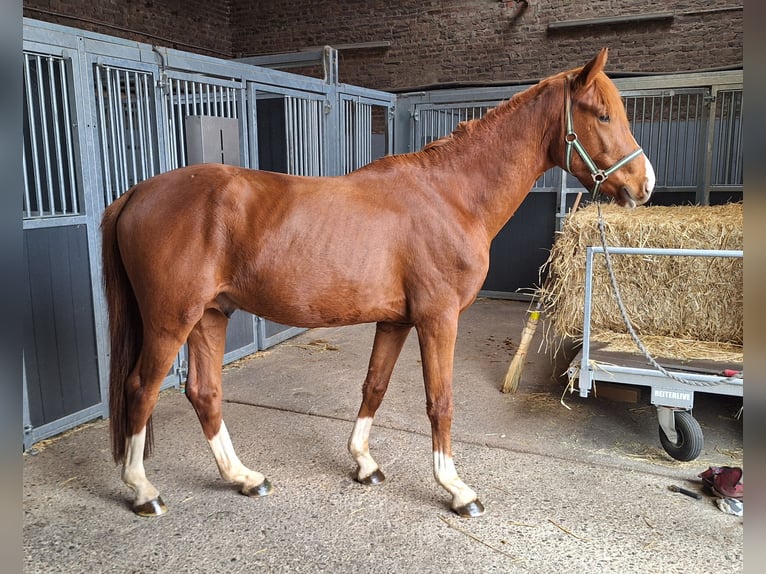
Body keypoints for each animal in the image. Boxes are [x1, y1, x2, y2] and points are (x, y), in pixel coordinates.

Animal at [101, 48, 655, 518]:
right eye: (601, 114)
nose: (644, 184)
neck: (450, 197)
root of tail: (135, 195)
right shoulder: (437, 319)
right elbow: (440, 401)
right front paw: (456, 489)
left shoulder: (396, 321)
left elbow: (375, 386)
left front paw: (364, 463)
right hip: (171, 320)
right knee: (141, 389)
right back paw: (144, 490)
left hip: (209, 316)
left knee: (204, 392)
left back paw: (243, 477)